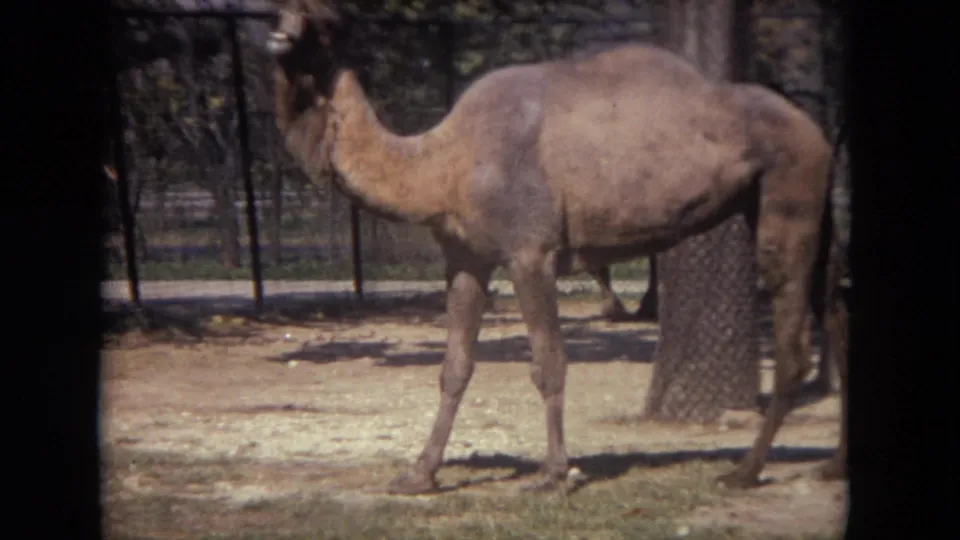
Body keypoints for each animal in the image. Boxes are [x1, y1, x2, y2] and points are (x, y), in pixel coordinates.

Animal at [264, 0, 849, 494]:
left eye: (323, 23)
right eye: (282, 8)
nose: (278, 32)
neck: (441, 164)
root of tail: (817, 132)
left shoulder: (531, 252)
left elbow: (549, 363)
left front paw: (553, 475)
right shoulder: (467, 261)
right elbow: (455, 367)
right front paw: (419, 475)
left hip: (788, 191)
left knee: (794, 342)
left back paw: (744, 472)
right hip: (804, 207)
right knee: (836, 310)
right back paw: (832, 465)